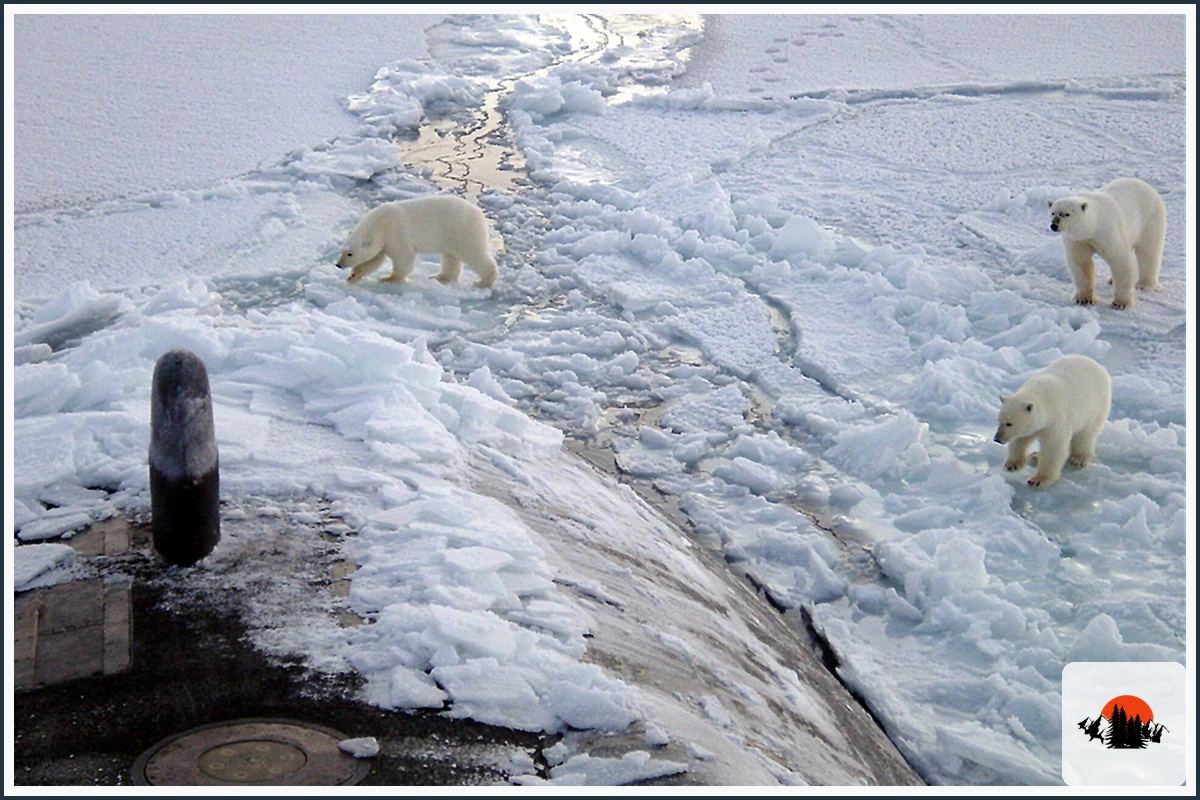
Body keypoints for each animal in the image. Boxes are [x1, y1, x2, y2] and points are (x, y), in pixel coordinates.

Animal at [336, 195, 499, 289]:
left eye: (350, 254)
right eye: (342, 251)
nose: (338, 265)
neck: (380, 223)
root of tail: (480, 214)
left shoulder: (395, 233)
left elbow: (403, 258)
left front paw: (388, 278)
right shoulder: (383, 240)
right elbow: (374, 260)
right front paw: (353, 277)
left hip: (462, 231)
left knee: (473, 253)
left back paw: (483, 282)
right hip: (450, 236)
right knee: (450, 257)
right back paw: (441, 277)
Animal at [993, 354, 1111, 488]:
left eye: (1009, 423)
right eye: (999, 421)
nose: (997, 439)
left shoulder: (1056, 419)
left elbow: (1053, 447)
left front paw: (1038, 480)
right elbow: (1020, 440)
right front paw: (1012, 464)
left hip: (1095, 408)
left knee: (1085, 435)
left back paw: (1077, 459)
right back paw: (1035, 456)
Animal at [1047, 177, 1165, 309]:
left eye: (1067, 214)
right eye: (1053, 213)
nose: (1054, 225)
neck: (1094, 224)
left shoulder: (1108, 231)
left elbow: (1120, 259)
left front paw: (1120, 303)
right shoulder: (1078, 240)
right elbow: (1081, 263)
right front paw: (1084, 299)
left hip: (1150, 219)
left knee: (1149, 251)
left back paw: (1145, 284)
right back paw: (1111, 280)